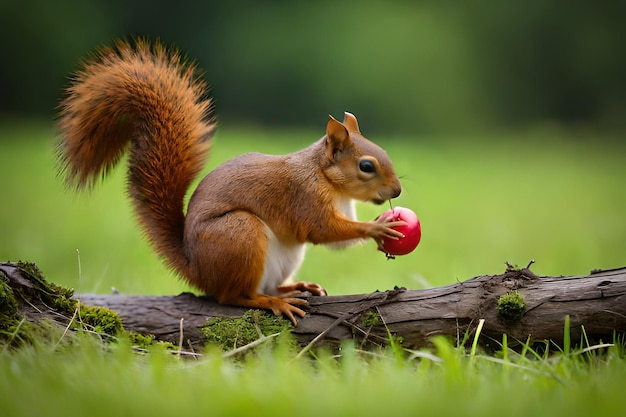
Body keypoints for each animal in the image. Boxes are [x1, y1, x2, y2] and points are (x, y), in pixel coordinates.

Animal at [56, 39, 402, 324]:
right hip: (239, 234)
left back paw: (294, 287)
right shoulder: (304, 196)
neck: (326, 177)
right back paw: (272, 303)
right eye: (366, 166)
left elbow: (339, 242)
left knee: (267, 285)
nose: (397, 191)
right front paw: (376, 228)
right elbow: (323, 230)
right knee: (233, 296)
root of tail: (197, 269)